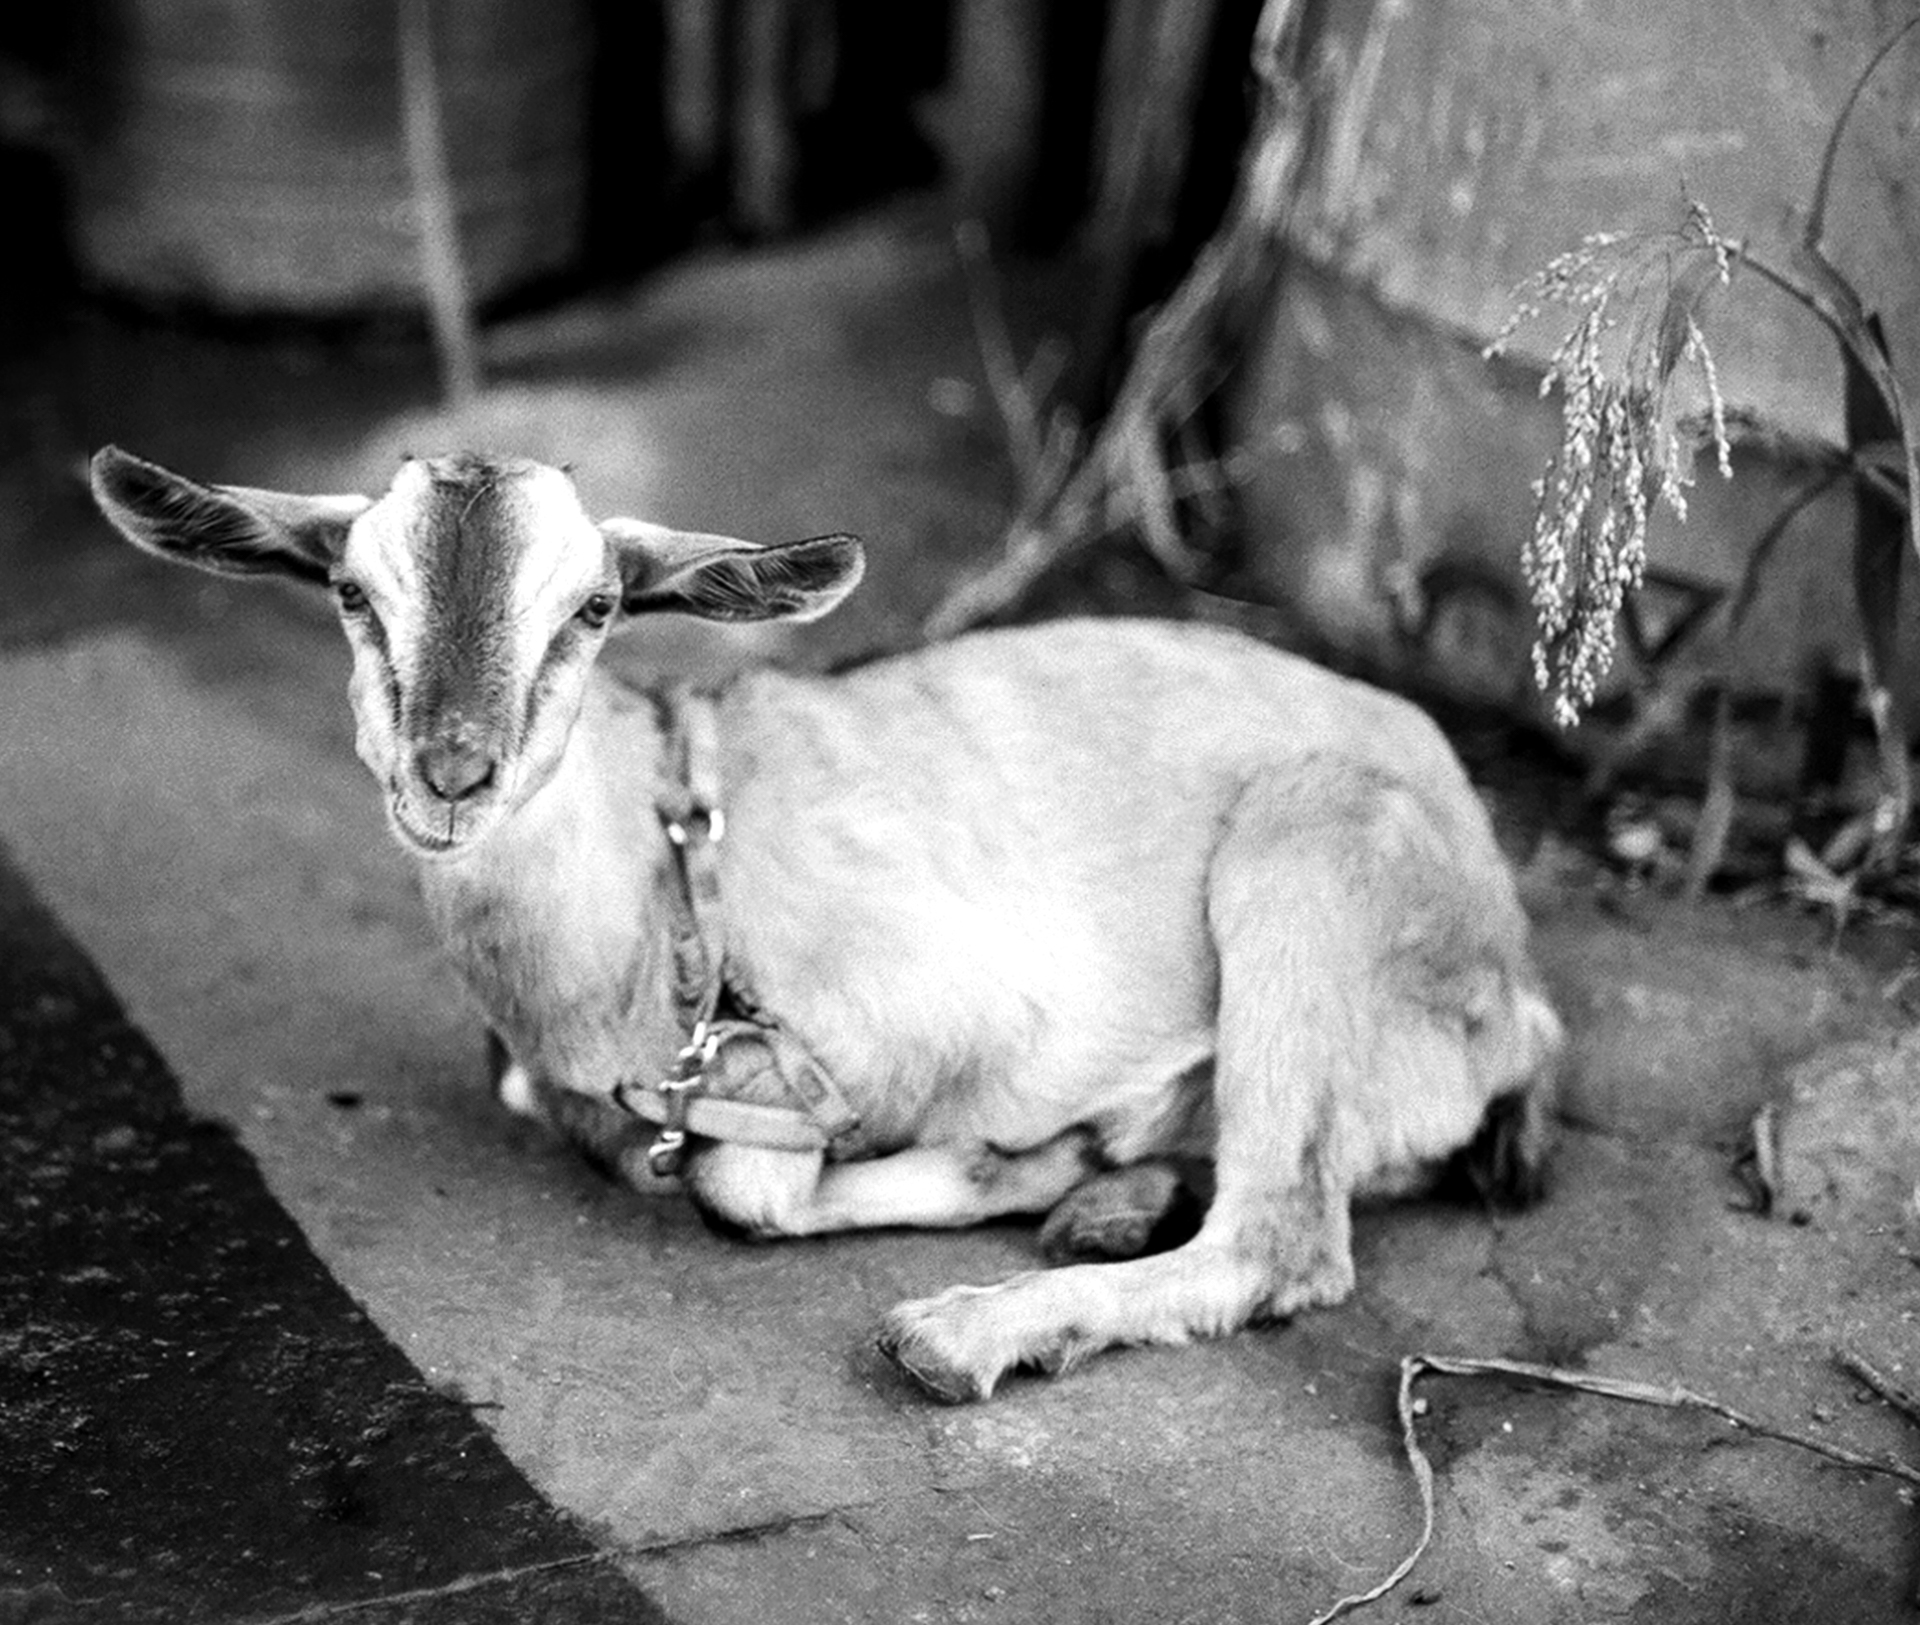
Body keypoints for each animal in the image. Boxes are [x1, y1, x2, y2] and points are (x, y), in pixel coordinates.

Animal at [90, 446, 1563, 1402]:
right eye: (352, 594)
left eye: (595, 606)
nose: (452, 776)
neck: (656, 889)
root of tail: (1519, 981)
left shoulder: (939, 1014)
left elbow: (742, 1190)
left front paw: (1024, 1160)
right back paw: (1120, 1196)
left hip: (1313, 853)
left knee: (1283, 1230)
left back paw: (979, 1318)